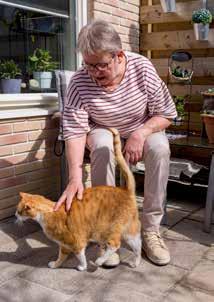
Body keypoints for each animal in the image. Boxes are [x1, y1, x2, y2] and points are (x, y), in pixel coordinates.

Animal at [15, 128, 142, 272]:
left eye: (19, 212)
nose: (15, 216)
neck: (48, 213)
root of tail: (126, 191)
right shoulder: (64, 245)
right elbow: (61, 256)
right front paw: (55, 265)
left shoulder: (76, 242)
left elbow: (80, 255)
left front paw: (82, 267)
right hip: (129, 232)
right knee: (138, 246)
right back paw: (135, 262)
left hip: (109, 229)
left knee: (115, 244)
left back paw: (99, 261)